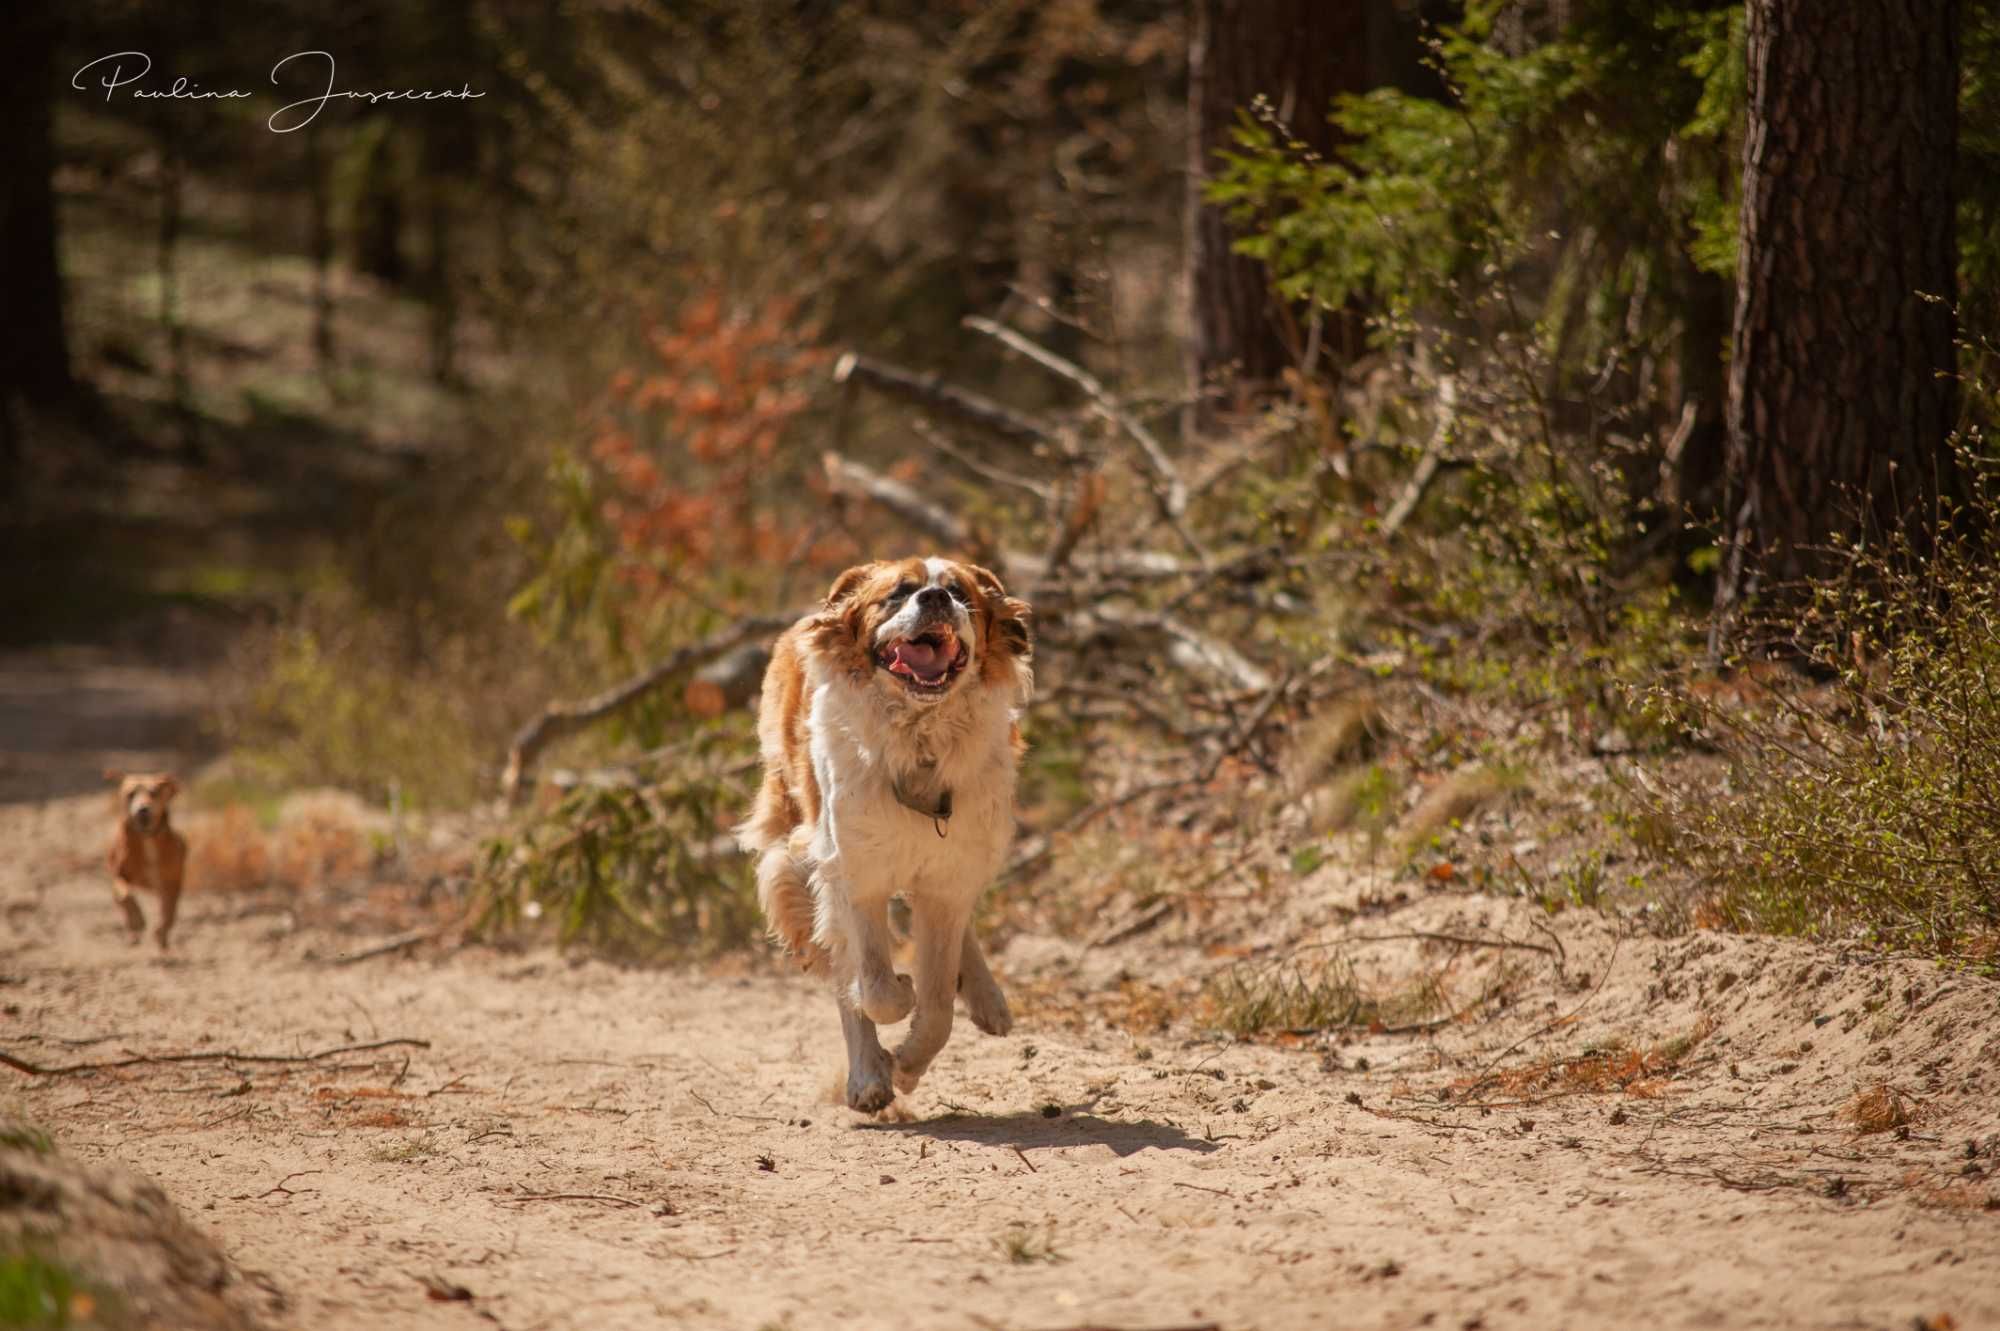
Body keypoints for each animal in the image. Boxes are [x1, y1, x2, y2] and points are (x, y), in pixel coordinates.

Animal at [104, 767, 187, 943]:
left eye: (154, 792)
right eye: (130, 794)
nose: (143, 810)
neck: (147, 840)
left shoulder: (172, 882)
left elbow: (169, 911)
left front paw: (161, 931)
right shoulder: (119, 874)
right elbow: (125, 895)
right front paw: (137, 921)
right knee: (121, 901)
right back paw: (133, 932)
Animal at [736, 551, 1032, 1111]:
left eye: (960, 593)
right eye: (898, 593)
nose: (935, 598)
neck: (920, 738)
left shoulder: (947, 879)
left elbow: (937, 1006)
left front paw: (910, 1064)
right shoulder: (853, 875)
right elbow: (874, 988)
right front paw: (891, 1031)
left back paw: (985, 1000)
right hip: (801, 857)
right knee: (846, 974)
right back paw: (869, 1078)